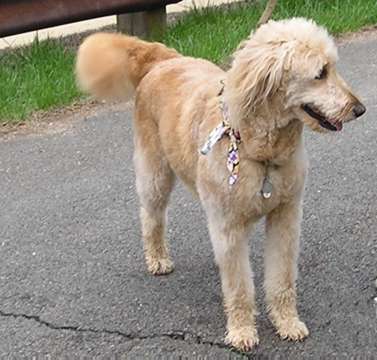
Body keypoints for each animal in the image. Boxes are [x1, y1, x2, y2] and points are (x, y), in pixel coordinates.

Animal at [75, 19, 364, 352]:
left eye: (333, 67)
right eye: (320, 73)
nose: (360, 109)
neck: (262, 152)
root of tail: (164, 59)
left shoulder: (286, 216)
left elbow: (282, 279)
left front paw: (287, 322)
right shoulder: (228, 225)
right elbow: (239, 287)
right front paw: (242, 331)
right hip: (155, 174)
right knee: (151, 216)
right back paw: (157, 257)